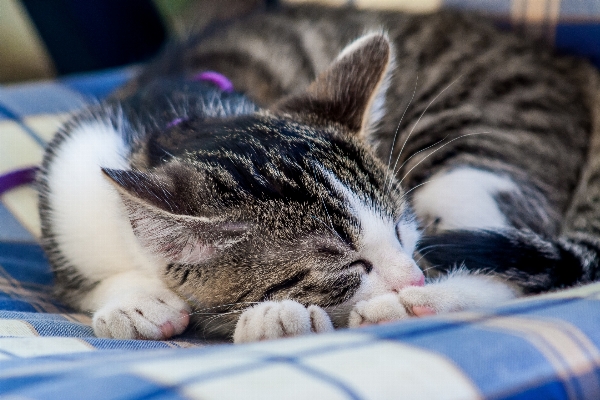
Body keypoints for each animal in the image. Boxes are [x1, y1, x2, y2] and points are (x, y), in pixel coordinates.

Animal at [37, 3, 596, 344]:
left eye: (400, 228)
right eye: (350, 265)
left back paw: (416, 303)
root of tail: (579, 69)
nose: (412, 275)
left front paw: (275, 315)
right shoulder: (67, 191)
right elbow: (80, 283)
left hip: (478, 148)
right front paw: (133, 301)